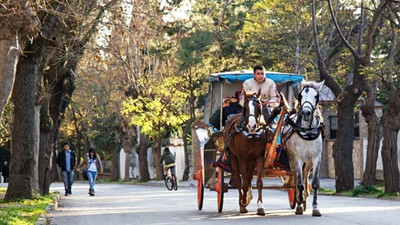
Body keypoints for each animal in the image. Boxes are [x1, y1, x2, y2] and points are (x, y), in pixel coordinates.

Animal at [282, 79, 324, 216]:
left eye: (316, 96)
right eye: (300, 95)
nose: (306, 112)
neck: (308, 131)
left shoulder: (316, 158)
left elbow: (315, 183)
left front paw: (315, 208)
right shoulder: (297, 159)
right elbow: (299, 183)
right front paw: (299, 204)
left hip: (309, 161)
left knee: (305, 174)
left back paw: (305, 195)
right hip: (291, 160)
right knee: (296, 178)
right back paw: (300, 199)